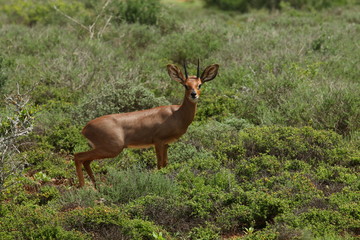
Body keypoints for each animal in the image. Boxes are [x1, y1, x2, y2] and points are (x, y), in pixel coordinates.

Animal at [74, 60, 218, 188]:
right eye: (185, 85)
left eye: (200, 84)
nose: (193, 95)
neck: (176, 114)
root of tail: (85, 128)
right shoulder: (158, 142)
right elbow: (159, 164)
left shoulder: (166, 144)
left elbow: (165, 163)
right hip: (112, 149)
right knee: (78, 156)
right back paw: (83, 187)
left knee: (86, 161)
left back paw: (96, 186)